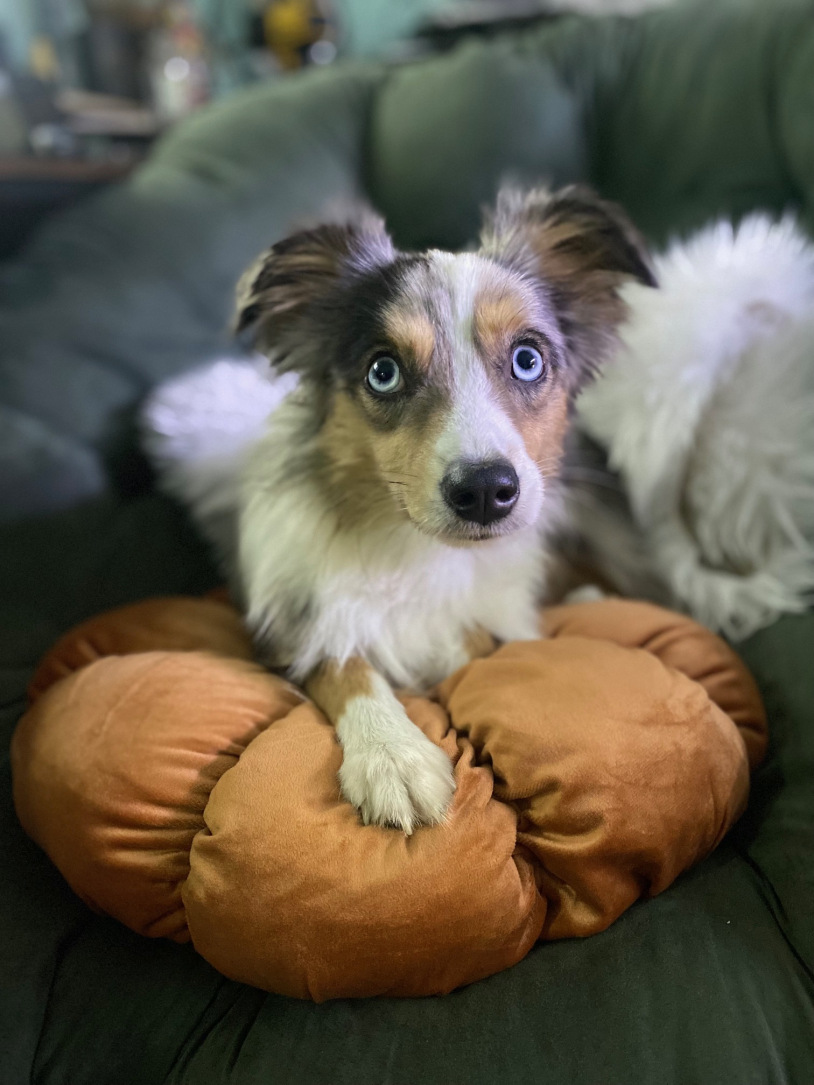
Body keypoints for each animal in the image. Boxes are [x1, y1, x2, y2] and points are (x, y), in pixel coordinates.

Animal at [223, 185, 656, 834]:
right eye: (383, 371)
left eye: (528, 358)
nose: (485, 491)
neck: (416, 547)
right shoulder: (296, 621)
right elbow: (343, 660)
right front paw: (393, 757)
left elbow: (484, 637)